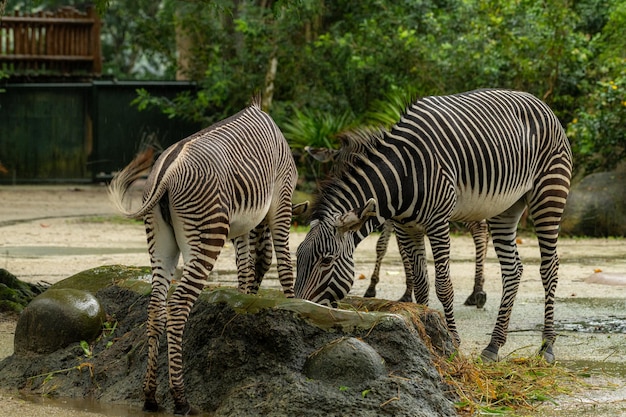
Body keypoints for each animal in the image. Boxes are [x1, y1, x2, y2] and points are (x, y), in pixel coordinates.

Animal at [108, 99, 298, 414]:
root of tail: (166, 174)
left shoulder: (243, 224)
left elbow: (244, 267)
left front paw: (243, 301)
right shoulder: (282, 197)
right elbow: (282, 262)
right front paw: (296, 305)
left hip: (159, 242)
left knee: (155, 307)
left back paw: (150, 396)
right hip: (206, 235)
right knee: (177, 306)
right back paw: (181, 398)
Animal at [302, 145, 488, 308]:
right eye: (335, 167)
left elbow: (392, 247)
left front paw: (404, 291)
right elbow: (387, 246)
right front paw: (388, 288)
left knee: (479, 228)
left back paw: (477, 292)